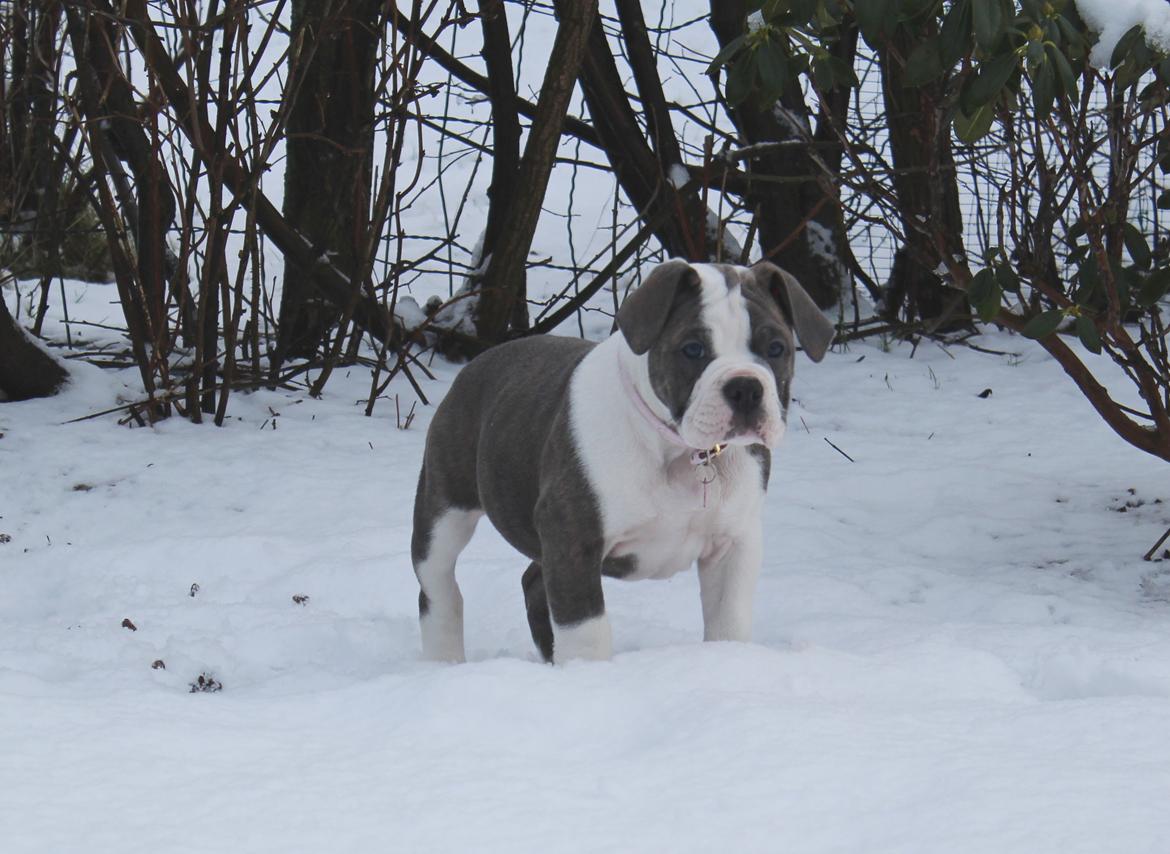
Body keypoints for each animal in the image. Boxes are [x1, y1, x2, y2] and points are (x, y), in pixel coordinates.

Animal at [411, 257, 833, 659]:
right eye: (693, 350)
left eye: (776, 349)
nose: (745, 387)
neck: (681, 451)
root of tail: (478, 362)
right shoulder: (573, 535)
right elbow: (586, 631)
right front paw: (588, 672)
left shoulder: (733, 542)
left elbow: (727, 621)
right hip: (444, 510)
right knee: (439, 587)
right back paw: (445, 660)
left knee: (532, 580)